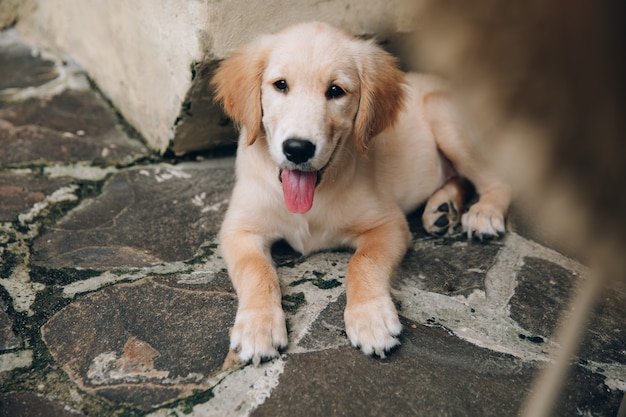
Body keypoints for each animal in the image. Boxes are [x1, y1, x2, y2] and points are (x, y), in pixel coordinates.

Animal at [212, 21, 510, 362]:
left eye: (335, 91)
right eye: (280, 85)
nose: (298, 149)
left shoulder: (388, 224)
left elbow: (363, 262)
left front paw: (371, 318)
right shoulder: (239, 230)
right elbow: (256, 269)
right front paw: (258, 326)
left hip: (445, 120)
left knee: (496, 179)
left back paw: (484, 213)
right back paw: (443, 209)